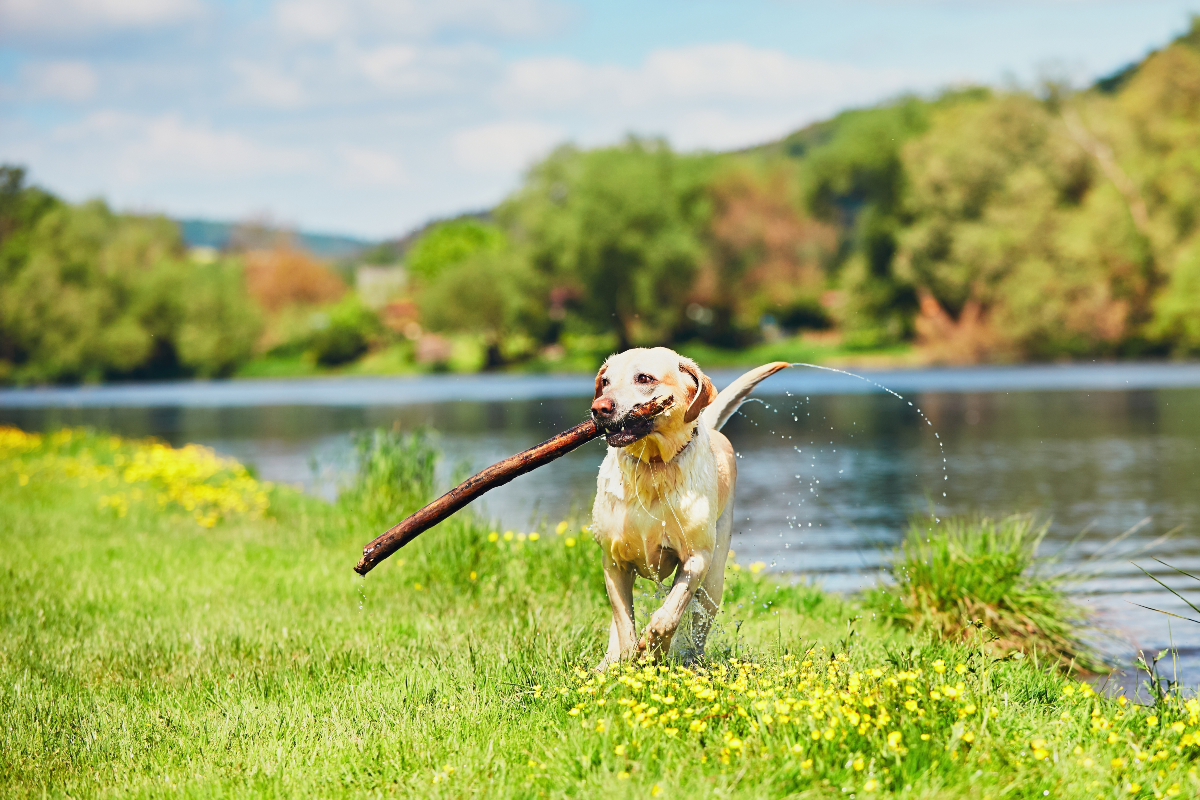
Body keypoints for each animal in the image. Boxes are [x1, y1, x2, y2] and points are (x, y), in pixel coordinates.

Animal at [588, 350, 787, 671]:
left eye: (644, 378)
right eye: (604, 381)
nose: (599, 408)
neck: (653, 467)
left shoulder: (696, 558)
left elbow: (669, 614)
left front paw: (654, 648)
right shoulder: (614, 562)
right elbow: (624, 623)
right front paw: (627, 657)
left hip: (714, 580)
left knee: (697, 622)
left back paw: (690, 659)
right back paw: (607, 663)